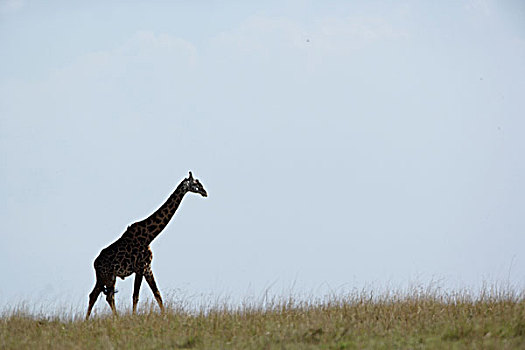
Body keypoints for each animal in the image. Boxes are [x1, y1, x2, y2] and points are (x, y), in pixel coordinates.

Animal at [86, 171, 207, 318]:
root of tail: (95, 264)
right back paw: (114, 318)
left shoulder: (148, 268)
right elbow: (136, 296)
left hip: (105, 277)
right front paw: (134, 317)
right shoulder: (140, 267)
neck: (149, 236)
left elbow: (157, 294)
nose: (205, 192)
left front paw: (164, 316)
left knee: (95, 295)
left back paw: (90, 320)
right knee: (107, 296)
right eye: (196, 183)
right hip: (108, 276)